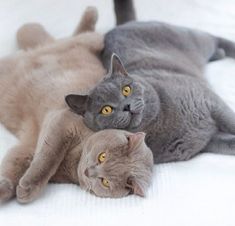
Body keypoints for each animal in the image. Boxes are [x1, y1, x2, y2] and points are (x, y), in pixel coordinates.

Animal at [0, 7, 153, 204]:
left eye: (105, 182)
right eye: (102, 156)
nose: (89, 171)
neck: (74, 158)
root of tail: (40, 50)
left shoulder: (28, 147)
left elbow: (17, 161)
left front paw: (16, 188)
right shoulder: (61, 122)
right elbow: (47, 158)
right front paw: (28, 186)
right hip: (93, 40)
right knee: (81, 33)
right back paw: (90, 11)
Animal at [64, 0, 235, 162]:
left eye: (126, 90)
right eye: (106, 110)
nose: (126, 106)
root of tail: (123, 25)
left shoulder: (209, 100)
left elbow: (230, 121)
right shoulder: (205, 141)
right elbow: (225, 144)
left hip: (189, 39)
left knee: (213, 38)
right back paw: (219, 53)